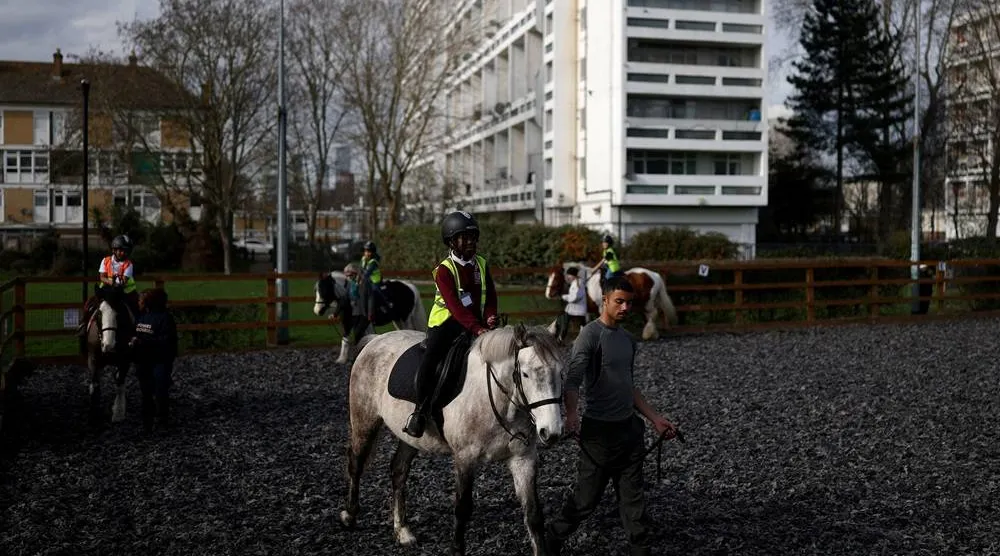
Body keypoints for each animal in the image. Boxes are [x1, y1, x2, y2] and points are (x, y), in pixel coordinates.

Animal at [82, 285, 135, 424]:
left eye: (118, 314)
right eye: (99, 313)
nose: (108, 345)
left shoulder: (125, 360)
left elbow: (120, 383)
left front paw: (118, 413)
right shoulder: (93, 359)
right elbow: (95, 383)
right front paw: (93, 414)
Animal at [340, 324, 564, 556]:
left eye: (561, 373)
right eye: (525, 374)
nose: (551, 432)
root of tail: (376, 340)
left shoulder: (523, 459)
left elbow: (533, 514)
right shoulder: (465, 458)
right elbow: (462, 508)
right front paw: (457, 549)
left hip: (410, 438)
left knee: (398, 470)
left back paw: (402, 531)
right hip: (364, 421)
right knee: (356, 464)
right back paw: (350, 515)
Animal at [545, 262, 677, 340]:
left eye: (556, 277)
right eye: (549, 276)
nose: (548, 294)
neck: (586, 283)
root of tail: (654, 275)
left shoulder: (599, 307)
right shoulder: (587, 309)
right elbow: (585, 322)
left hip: (647, 302)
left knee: (652, 314)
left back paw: (648, 333)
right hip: (641, 303)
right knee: (648, 315)